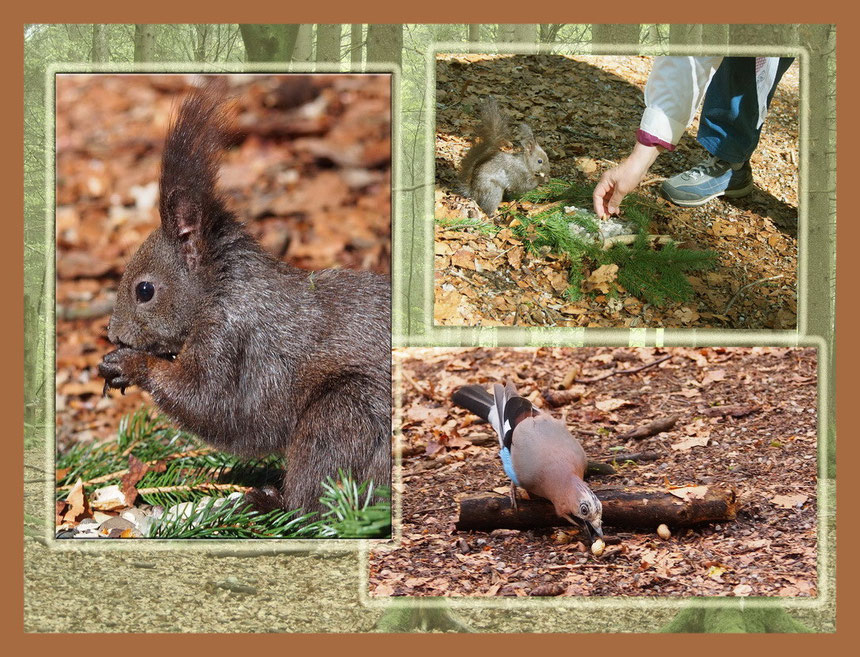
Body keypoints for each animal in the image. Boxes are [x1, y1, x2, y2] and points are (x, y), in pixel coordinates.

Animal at [97, 82, 390, 512]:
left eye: (144, 290)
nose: (114, 333)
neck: (223, 290)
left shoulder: (231, 340)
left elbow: (215, 406)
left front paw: (130, 365)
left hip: (345, 414)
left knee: (317, 493)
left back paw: (270, 500)